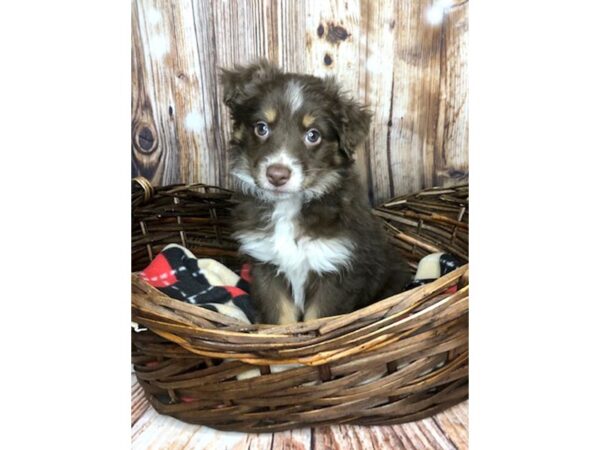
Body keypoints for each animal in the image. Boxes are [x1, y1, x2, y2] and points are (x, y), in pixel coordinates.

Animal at [220, 61, 412, 326]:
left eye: (313, 135)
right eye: (261, 128)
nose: (277, 175)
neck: (289, 207)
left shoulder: (337, 270)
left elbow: (317, 320)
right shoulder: (266, 266)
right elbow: (282, 320)